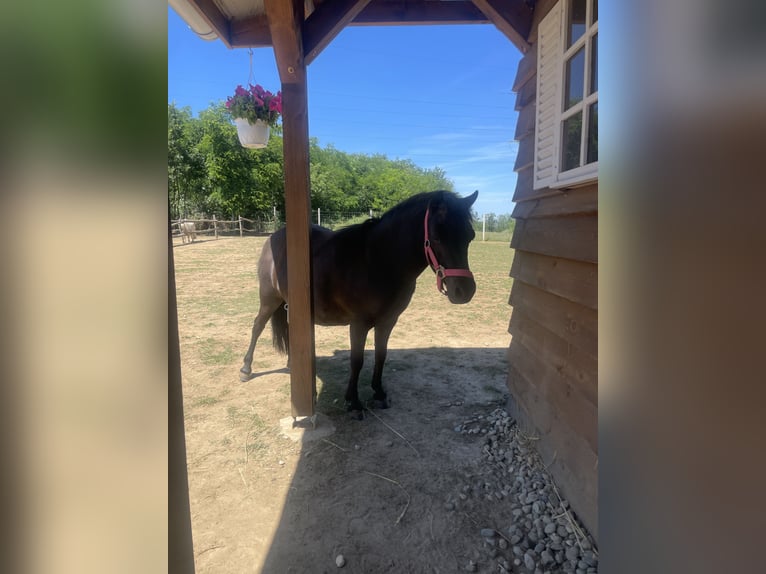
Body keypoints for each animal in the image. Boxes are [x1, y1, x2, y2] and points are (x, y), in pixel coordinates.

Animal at [239, 190, 478, 414]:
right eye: (437, 237)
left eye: (470, 236)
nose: (464, 291)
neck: (377, 261)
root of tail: (276, 236)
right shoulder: (359, 323)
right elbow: (357, 361)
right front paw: (353, 402)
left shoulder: (388, 321)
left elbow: (381, 355)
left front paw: (379, 393)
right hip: (269, 299)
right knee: (257, 326)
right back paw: (246, 369)